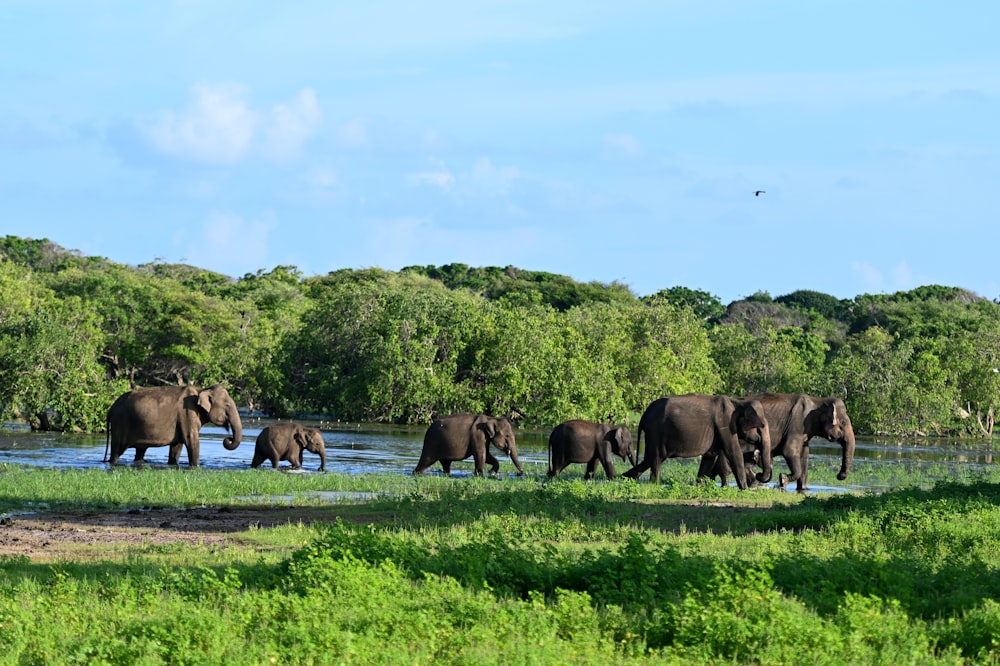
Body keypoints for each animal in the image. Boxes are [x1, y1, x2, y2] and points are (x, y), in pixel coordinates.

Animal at [104, 384, 242, 466]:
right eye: (228, 405)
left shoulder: (183, 418)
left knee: (140, 451)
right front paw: (196, 466)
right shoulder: (187, 412)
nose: (228, 439)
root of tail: (110, 410)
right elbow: (191, 439)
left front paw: (173, 464)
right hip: (120, 423)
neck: (201, 390)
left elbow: (178, 445)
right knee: (116, 451)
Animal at [624, 392, 772, 486]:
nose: (759, 474)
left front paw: (699, 487)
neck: (738, 401)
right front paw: (744, 490)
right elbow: (734, 453)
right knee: (656, 459)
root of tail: (644, 416)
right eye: (761, 426)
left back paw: (623, 478)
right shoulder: (725, 424)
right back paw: (653, 484)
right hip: (655, 431)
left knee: (649, 459)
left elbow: (709, 458)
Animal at [704, 392, 860, 490]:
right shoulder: (797, 425)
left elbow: (804, 456)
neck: (819, 401)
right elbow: (789, 451)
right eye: (844, 423)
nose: (839, 476)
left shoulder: (805, 433)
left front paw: (803, 489)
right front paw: (783, 480)